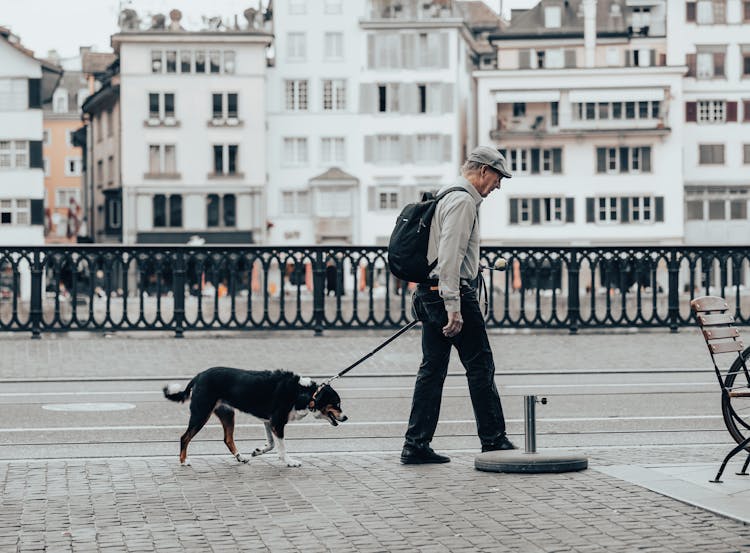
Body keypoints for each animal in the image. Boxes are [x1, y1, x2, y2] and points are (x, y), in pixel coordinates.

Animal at [164, 366, 346, 466]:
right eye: (336, 404)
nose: (346, 418)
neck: (304, 392)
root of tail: (199, 376)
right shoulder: (277, 423)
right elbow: (282, 447)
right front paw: (289, 461)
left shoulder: (269, 422)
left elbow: (271, 444)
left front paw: (258, 451)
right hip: (201, 413)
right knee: (185, 437)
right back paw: (184, 461)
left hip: (228, 414)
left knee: (228, 439)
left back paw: (241, 458)